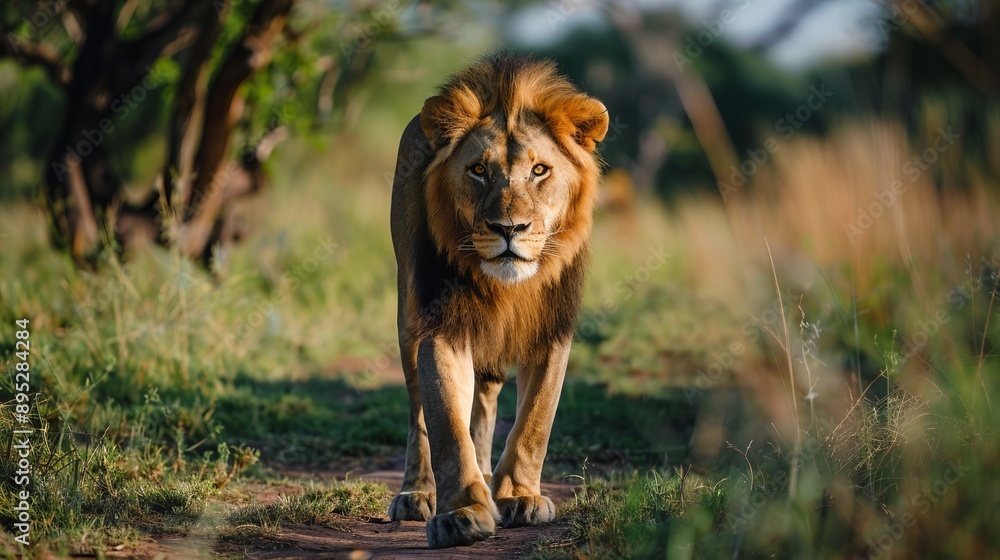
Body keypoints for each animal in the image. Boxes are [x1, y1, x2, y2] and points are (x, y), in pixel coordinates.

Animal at [387, 53, 609, 549]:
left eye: (540, 170)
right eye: (478, 170)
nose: (510, 229)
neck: (508, 287)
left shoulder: (552, 330)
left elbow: (535, 422)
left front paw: (519, 497)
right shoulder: (440, 324)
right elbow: (446, 423)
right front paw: (461, 513)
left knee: (486, 398)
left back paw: (489, 477)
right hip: (407, 315)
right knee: (417, 412)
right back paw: (417, 491)